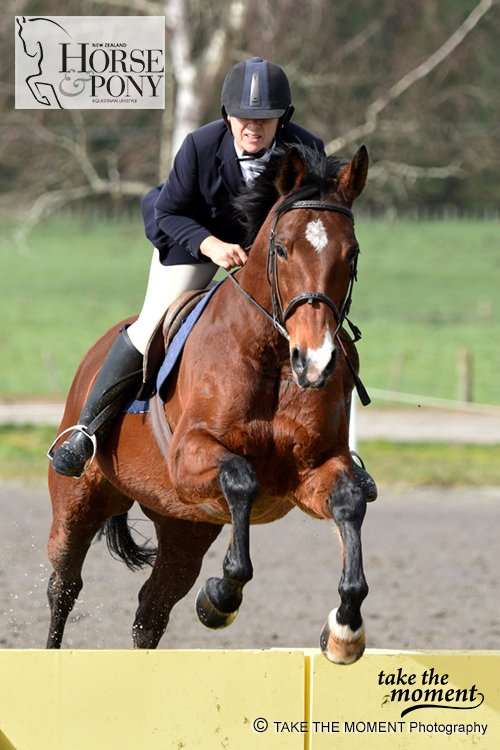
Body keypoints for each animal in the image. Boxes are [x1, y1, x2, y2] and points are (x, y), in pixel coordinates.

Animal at [47, 144, 372, 668]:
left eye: (352, 252)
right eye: (282, 249)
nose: (316, 362)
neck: (272, 356)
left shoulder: (315, 470)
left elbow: (348, 503)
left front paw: (344, 631)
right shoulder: (190, 458)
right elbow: (241, 478)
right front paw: (220, 597)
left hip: (185, 525)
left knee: (151, 611)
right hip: (79, 501)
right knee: (64, 586)